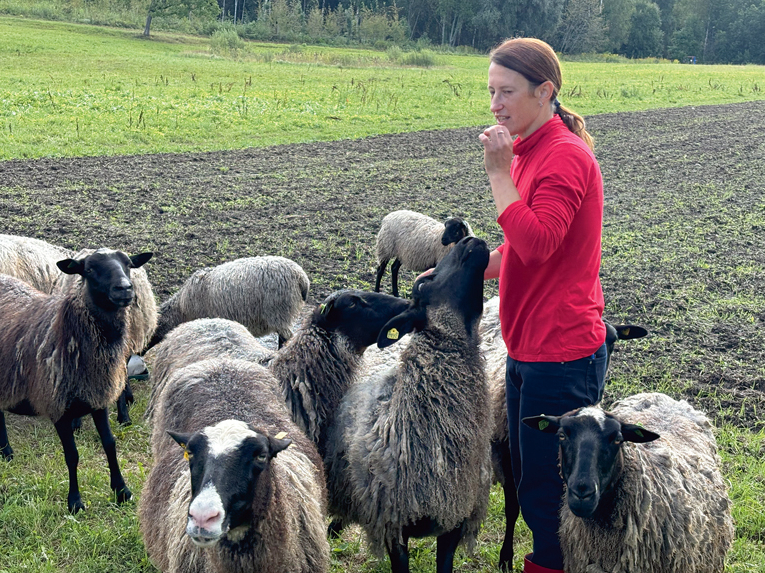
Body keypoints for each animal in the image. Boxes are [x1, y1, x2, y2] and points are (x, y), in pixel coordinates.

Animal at [0, 248, 154, 512]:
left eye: (128, 264)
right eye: (89, 269)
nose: (124, 289)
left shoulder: (98, 397)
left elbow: (110, 443)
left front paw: (122, 491)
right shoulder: (58, 405)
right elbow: (72, 455)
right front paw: (75, 502)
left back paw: (6, 452)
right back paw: (7, 451)